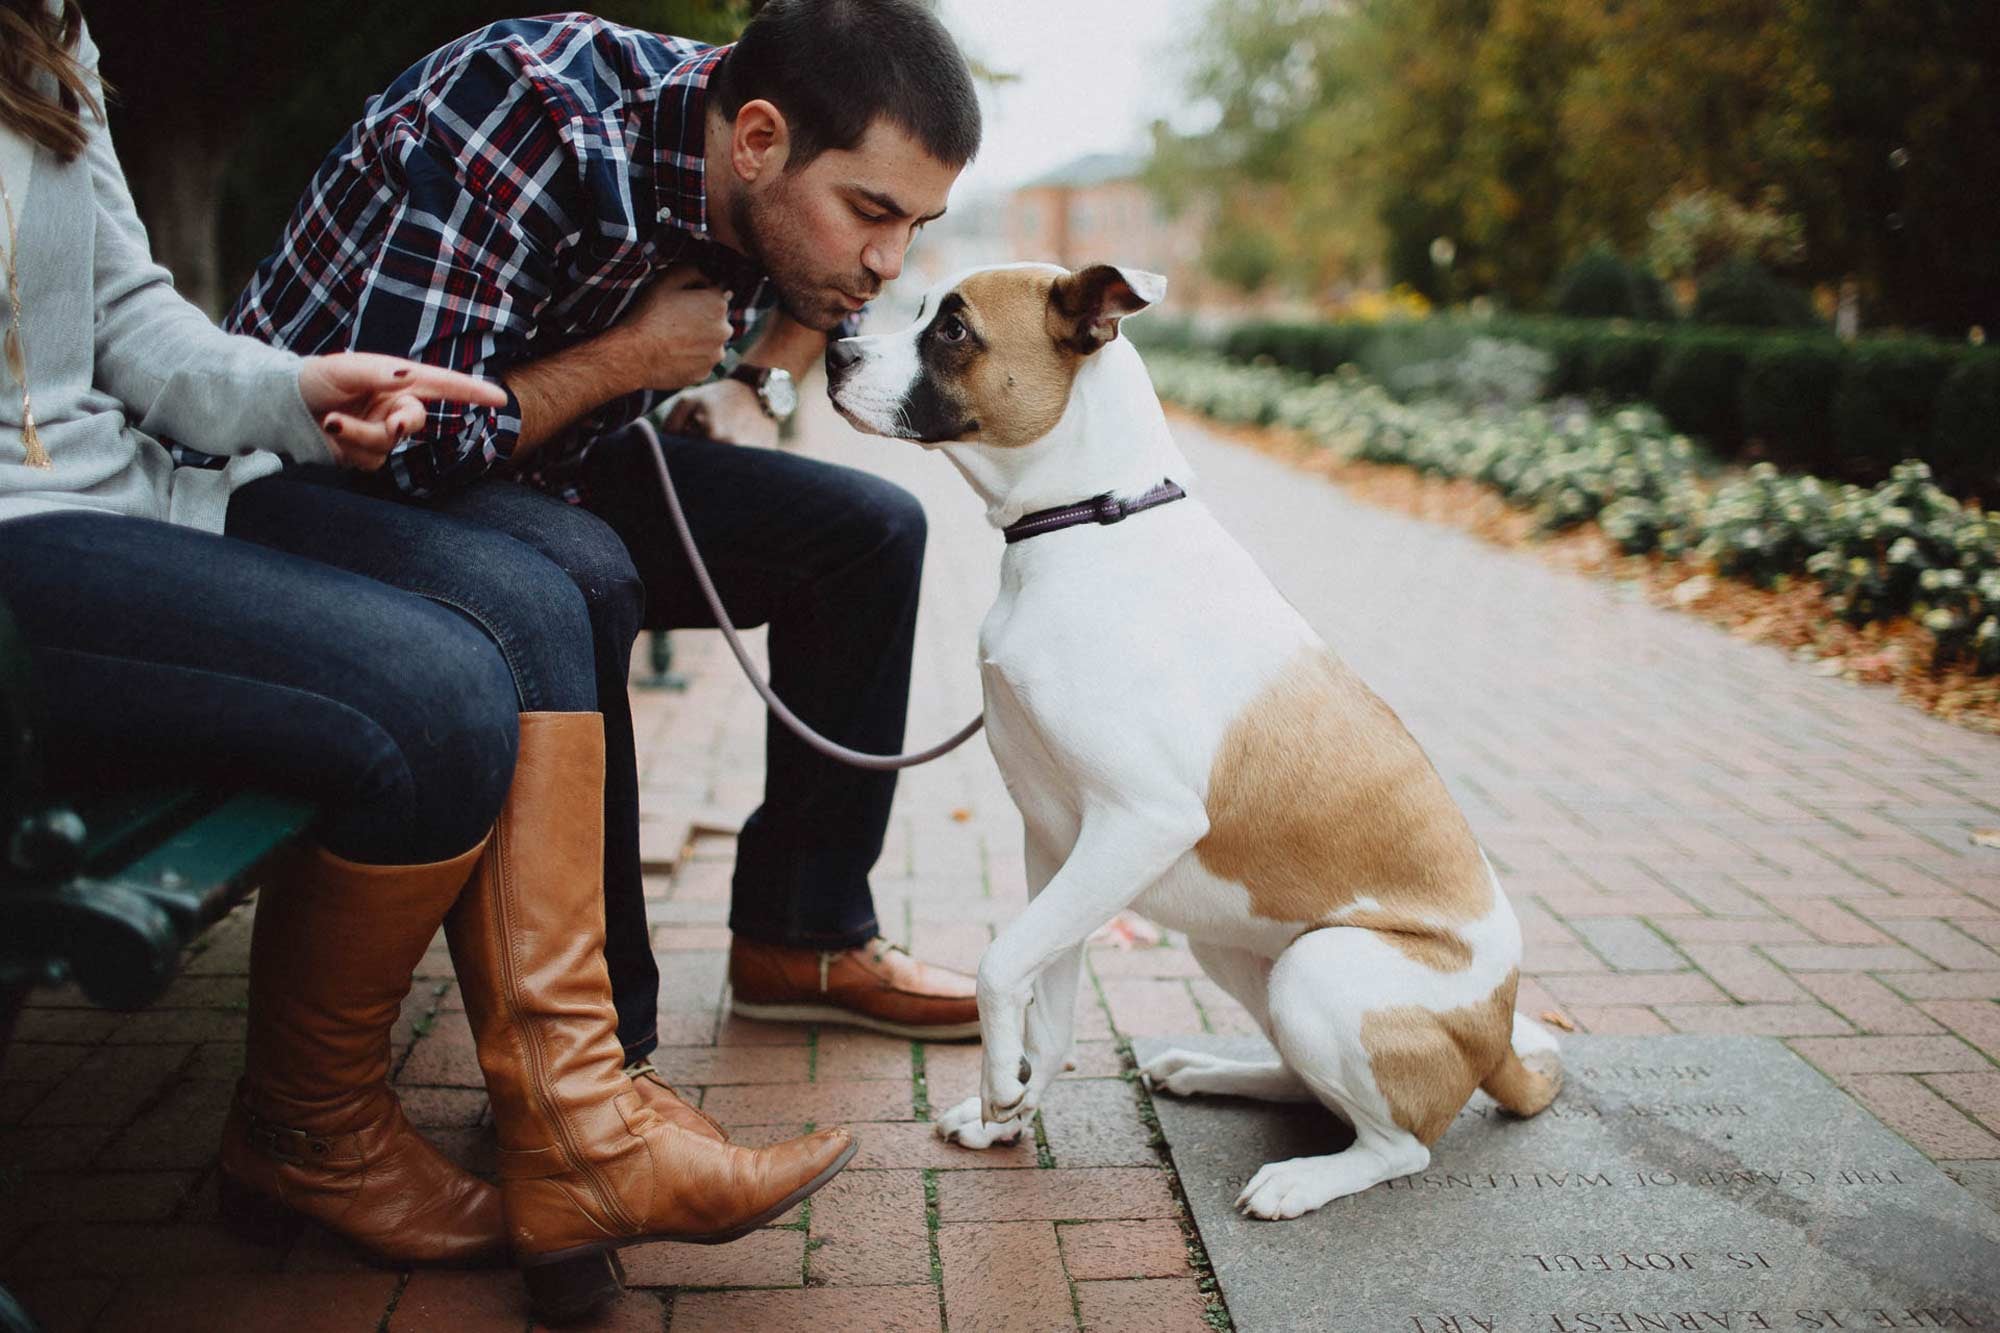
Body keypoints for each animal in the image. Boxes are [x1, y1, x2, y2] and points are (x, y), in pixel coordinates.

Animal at [828, 260, 1560, 1216]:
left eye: (952, 330)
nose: (832, 352)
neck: (1091, 518)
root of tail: (1501, 1036)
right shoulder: (1055, 839)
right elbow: (1045, 999)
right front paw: (1009, 1110)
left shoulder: (1138, 823)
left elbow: (999, 963)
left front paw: (998, 1087)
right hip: (1238, 952)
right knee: (1305, 1080)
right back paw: (1209, 1071)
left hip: (1320, 970)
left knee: (1400, 1145)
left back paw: (1301, 1178)